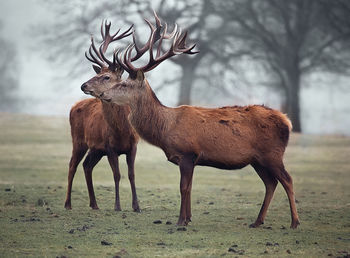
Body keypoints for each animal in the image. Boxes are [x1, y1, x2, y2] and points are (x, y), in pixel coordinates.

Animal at [64, 21, 141, 212]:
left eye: (106, 76)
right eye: (95, 74)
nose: (83, 85)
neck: (122, 131)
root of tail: (74, 106)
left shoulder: (133, 145)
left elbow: (131, 175)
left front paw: (136, 206)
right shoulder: (110, 147)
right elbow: (117, 175)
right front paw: (117, 206)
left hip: (95, 149)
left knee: (86, 165)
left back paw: (94, 204)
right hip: (78, 140)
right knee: (72, 165)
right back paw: (68, 204)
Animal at [85, 14, 300, 228]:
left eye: (123, 84)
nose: (101, 94)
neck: (166, 128)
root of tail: (287, 121)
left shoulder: (187, 153)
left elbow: (183, 188)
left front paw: (180, 221)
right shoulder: (194, 158)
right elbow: (189, 187)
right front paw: (188, 218)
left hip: (272, 153)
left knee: (287, 179)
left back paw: (294, 222)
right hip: (258, 159)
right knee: (271, 183)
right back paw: (257, 221)